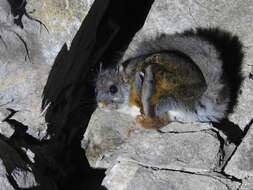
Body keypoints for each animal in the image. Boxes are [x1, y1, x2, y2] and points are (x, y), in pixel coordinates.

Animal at [95, 27, 243, 129]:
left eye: (113, 89)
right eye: (95, 90)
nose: (100, 104)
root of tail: (195, 104)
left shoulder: (139, 82)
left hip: (162, 93)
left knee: (159, 119)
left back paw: (143, 122)